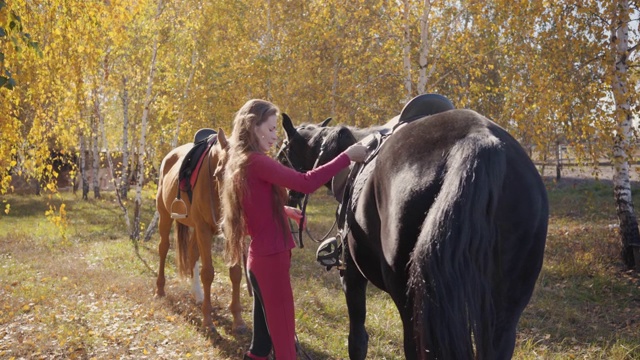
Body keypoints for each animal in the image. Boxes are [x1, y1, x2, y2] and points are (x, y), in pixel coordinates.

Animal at [154, 129, 246, 334]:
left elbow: (236, 272)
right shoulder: (204, 229)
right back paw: (160, 290)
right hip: (165, 216)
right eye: (218, 174)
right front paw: (208, 321)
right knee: (163, 248)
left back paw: (197, 294)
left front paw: (238, 320)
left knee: (192, 252)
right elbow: (208, 273)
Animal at [280, 97, 552, 358]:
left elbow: (357, 340)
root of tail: (479, 142)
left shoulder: (351, 274)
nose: (288, 196)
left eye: (283, 153)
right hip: (504, 313)